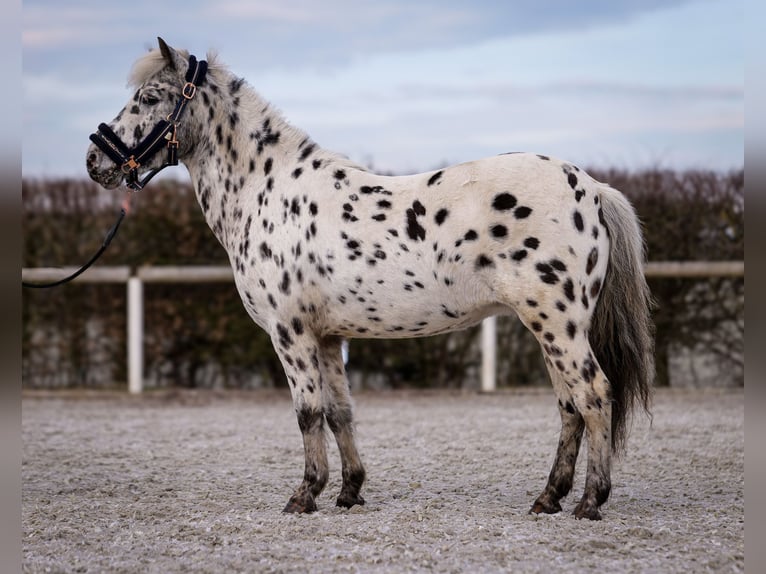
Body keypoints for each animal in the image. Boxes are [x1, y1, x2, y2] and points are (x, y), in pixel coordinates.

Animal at [88, 38, 656, 520]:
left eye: (149, 97)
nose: (94, 160)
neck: (267, 191)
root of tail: (591, 188)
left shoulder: (289, 332)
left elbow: (307, 412)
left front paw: (304, 495)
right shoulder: (327, 336)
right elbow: (341, 412)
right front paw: (349, 492)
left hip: (557, 325)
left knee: (593, 394)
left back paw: (589, 502)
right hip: (549, 328)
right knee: (569, 405)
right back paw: (548, 498)